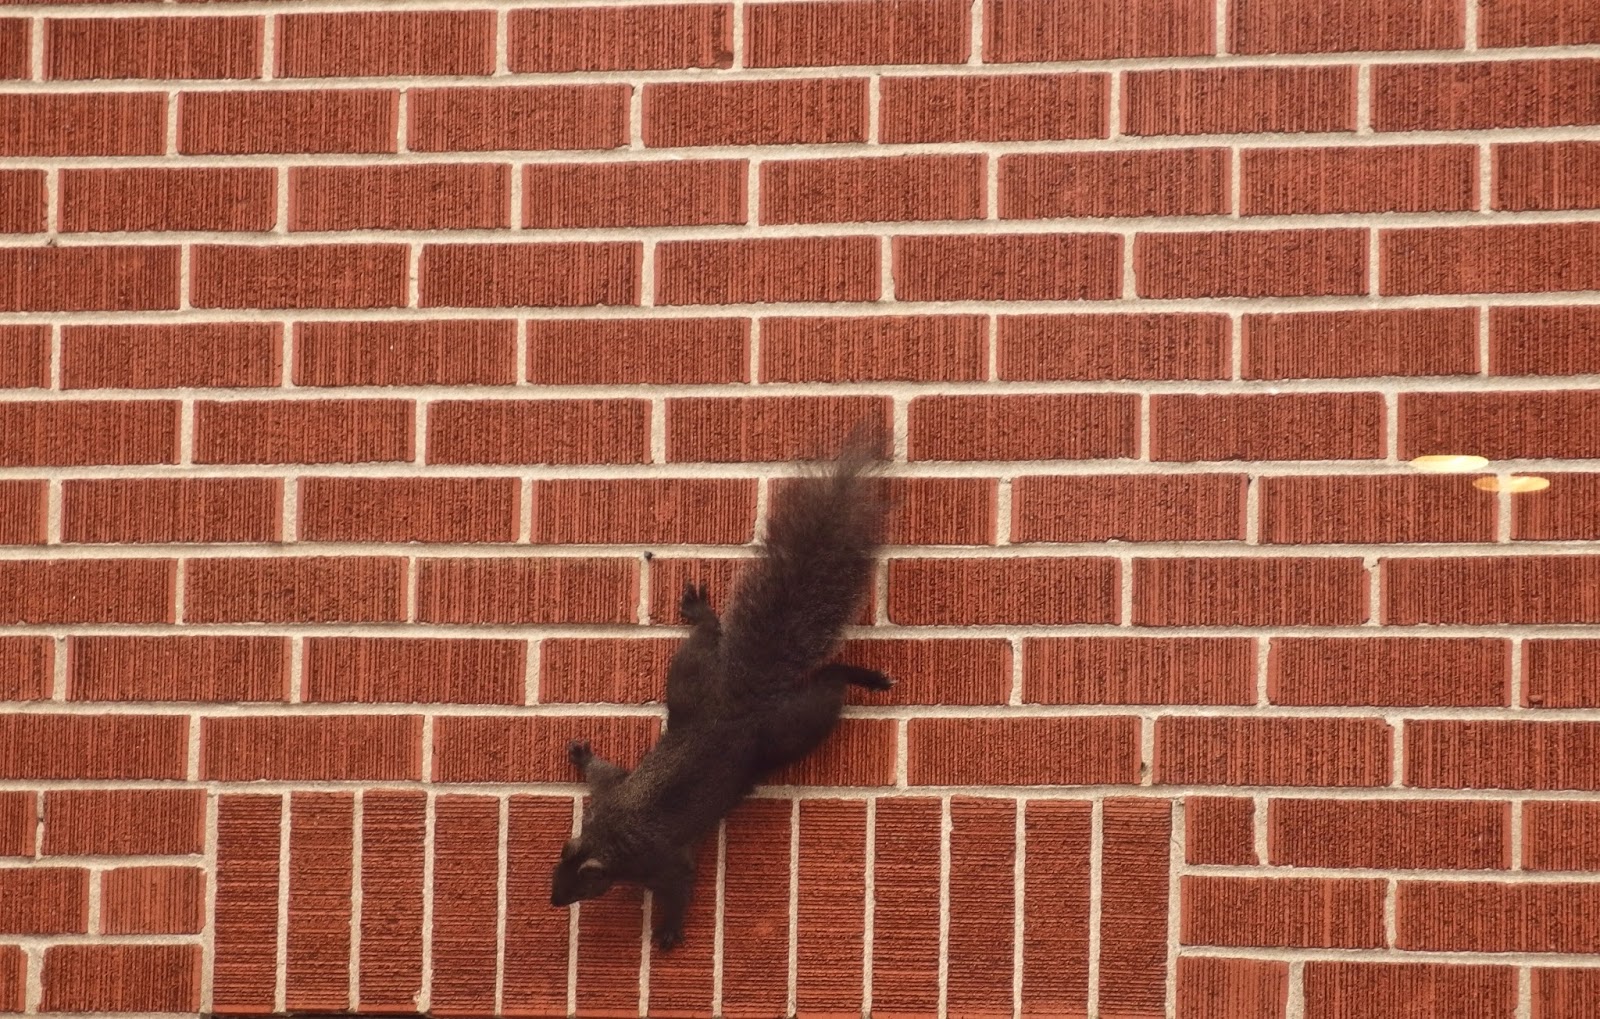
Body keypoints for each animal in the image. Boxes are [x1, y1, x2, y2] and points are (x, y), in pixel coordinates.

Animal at [549, 427, 894, 951]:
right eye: (557, 866)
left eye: (581, 886)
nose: (552, 899)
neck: (612, 833)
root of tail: (738, 692)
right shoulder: (613, 793)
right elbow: (605, 773)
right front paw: (583, 755)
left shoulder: (662, 858)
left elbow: (679, 883)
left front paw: (668, 931)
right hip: (690, 678)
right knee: (706, 641)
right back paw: (700, 613)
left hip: (788, 727)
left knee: (827, 684)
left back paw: (865, 678)